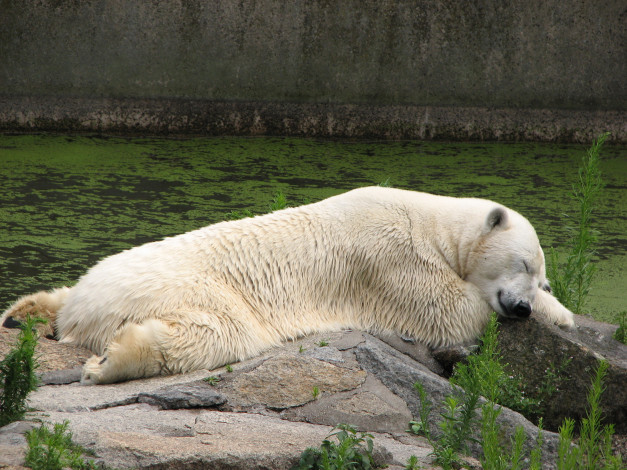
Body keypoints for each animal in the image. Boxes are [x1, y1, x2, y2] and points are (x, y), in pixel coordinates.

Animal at [1, 185, 580, 384]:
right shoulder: (389, 259)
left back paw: (23, 311)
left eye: (542, 275)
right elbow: (448, 309)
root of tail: (86, 311)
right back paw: (109, 361)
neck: (433, 223)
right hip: (182, 286)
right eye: (525, 264)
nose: (525, 308)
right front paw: (564, 316)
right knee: (217, 331)